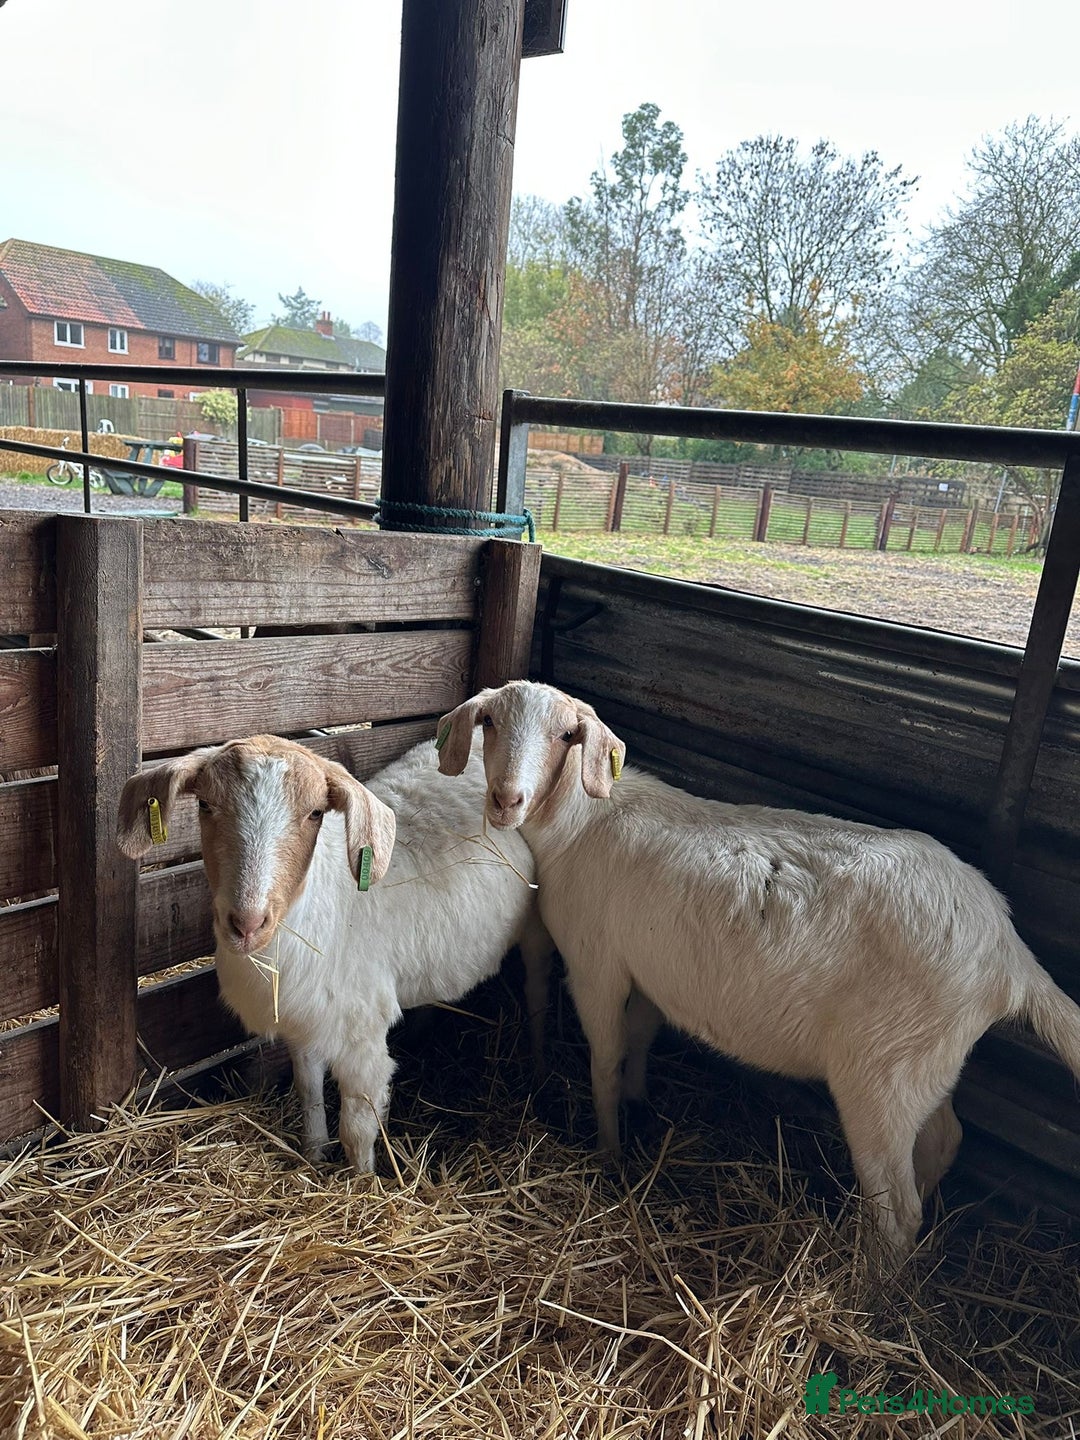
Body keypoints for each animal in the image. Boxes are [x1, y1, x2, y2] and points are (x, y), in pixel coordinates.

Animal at [118, 734, 553, 1171]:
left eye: (314, 813)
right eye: (205, 804)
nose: (247, 923)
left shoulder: (361, 1037)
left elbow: (357, 1129)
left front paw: (362, 1179)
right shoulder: (304, 1023)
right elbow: (308, 1093)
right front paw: (312, 1155)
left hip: (536, 925)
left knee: (537, 987)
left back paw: (538, 1062)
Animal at [436, 680, 1080, 1258]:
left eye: (566, 735)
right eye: (489, 721)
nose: (506, 800)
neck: (581, 822)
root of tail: (1009, 953)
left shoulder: (598, 965)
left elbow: (605, 1058)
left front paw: (609, 1151)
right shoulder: (649, 970)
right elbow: (642, 1035)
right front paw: (641, 1103)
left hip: (882, 1075)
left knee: (898, 1211)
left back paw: (870, 1289)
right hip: (926, 1062)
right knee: (944, 1140)